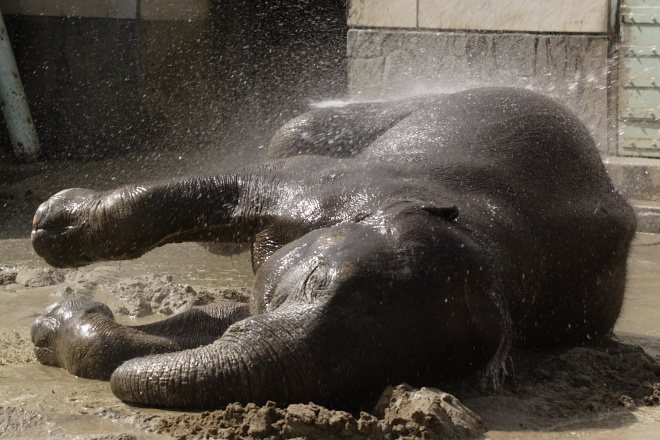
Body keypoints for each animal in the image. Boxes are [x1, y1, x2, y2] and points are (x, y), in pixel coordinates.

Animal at [29, 87, 636, 410]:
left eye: (383, 375)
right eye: (315, 280)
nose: (74, 307)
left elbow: (218, 323)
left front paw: (55, 322)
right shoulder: (340, 186)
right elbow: (243, 185)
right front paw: (51, 226)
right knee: (293, 134)